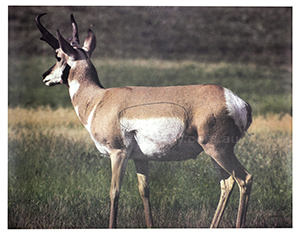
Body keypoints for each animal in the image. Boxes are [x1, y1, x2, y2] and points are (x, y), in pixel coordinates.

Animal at [35, 13, 253, 229]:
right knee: (227, 184)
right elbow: (144, 192)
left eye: (58, 56)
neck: (97, 98)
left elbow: (114, 192)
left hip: (218, 150)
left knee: (244, 179)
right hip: (214, 153)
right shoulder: (141, 159)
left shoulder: (118, 153)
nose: (44, 76)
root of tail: (236, 100)